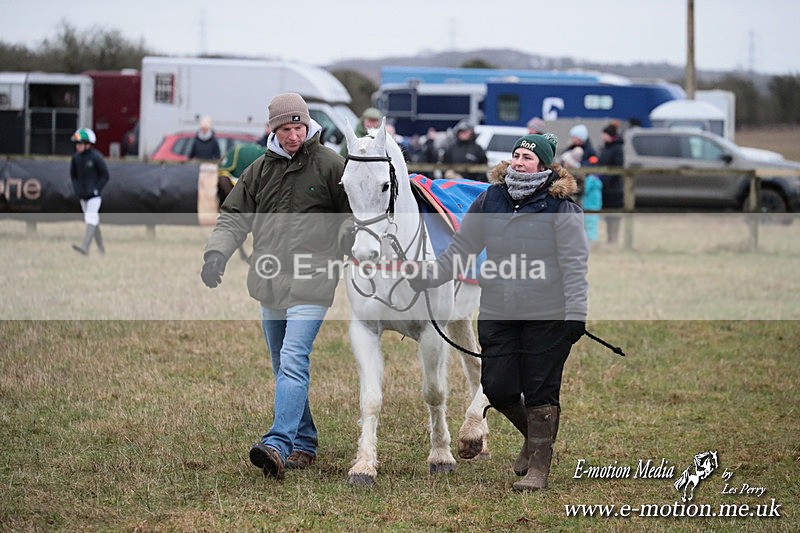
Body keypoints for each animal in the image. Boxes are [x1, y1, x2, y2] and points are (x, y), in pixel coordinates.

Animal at [339, 119, 490, 486]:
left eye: (384, 185)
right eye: (345, 185)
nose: (365, 252)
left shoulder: (432, 334)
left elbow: (434, 392)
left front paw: (441, 456)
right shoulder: (364, 330)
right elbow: (371, 399)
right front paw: (364, 465)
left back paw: (470, 433)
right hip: (460, 318)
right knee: (476, 366)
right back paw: (479, 437)